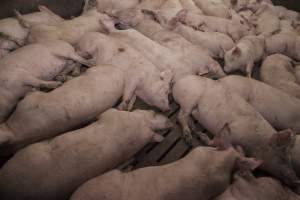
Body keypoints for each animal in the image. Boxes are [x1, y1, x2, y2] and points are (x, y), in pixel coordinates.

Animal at [0, 108, 171, 200]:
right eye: (153, 113)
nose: (169, 122)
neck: (141, 124)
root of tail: (9, 186)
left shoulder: (112, 114)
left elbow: (104, 113)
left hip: (27, 153)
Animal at [172, 74, 300, 188]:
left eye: (290, 158)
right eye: (282, 157)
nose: (296, 181)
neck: (256, 142)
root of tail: (179, 80)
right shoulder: (229, 133)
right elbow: (216, 141)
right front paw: (202, 136)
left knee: (187, 117)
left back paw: (193, 128)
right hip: (189, 100)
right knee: (181, 116)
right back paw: (188, 138)